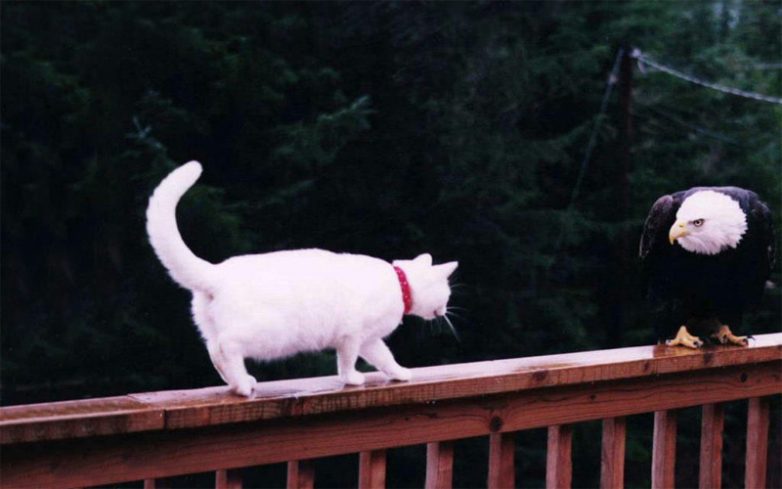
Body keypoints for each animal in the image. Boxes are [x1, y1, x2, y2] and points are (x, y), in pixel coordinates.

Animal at [146, 161, 458, 396]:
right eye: (447, 296)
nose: (444, 310)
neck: (398, 284)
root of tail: (216, 272)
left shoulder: (369, 339)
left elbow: (385, 357)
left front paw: (400, 373)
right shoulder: (351, 335)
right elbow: (347, 362)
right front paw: (352, 379)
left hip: (214, 328)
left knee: (213, 349)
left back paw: (237, 383)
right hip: (268, 332)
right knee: (226, 345)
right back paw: (244, 386)